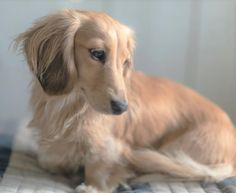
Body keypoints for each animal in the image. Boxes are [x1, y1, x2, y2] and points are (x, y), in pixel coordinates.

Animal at [16, 9, 236, 193]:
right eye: (97, 53)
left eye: (125, 62)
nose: (122, 108)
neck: (71, 105)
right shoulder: (51, 153)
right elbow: (50, 160)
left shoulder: (109, 146)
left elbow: (99, 163)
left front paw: (93, 185)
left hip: (176, 149)